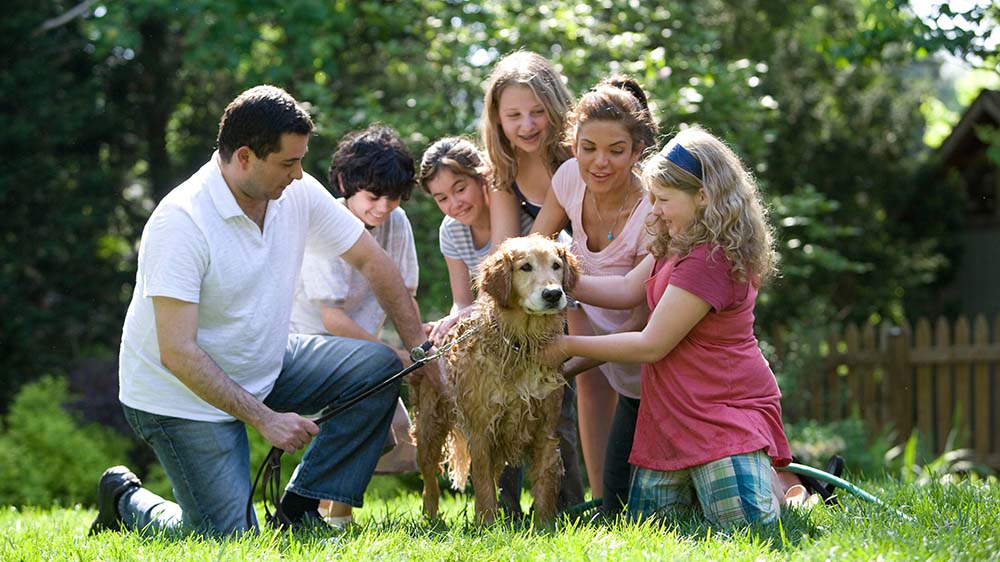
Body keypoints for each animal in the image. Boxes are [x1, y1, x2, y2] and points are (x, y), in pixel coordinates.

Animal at [412, 232, 580, 520]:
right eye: (525, 267)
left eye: (556, 266)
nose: (553, 294)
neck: (520, 344)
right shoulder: (481, 432)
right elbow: (483, 487)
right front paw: (487, 524)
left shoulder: (545, 430)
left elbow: (544, 487)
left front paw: (544, 524)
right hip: (429, 428)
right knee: (429, 483)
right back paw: (431, 519)